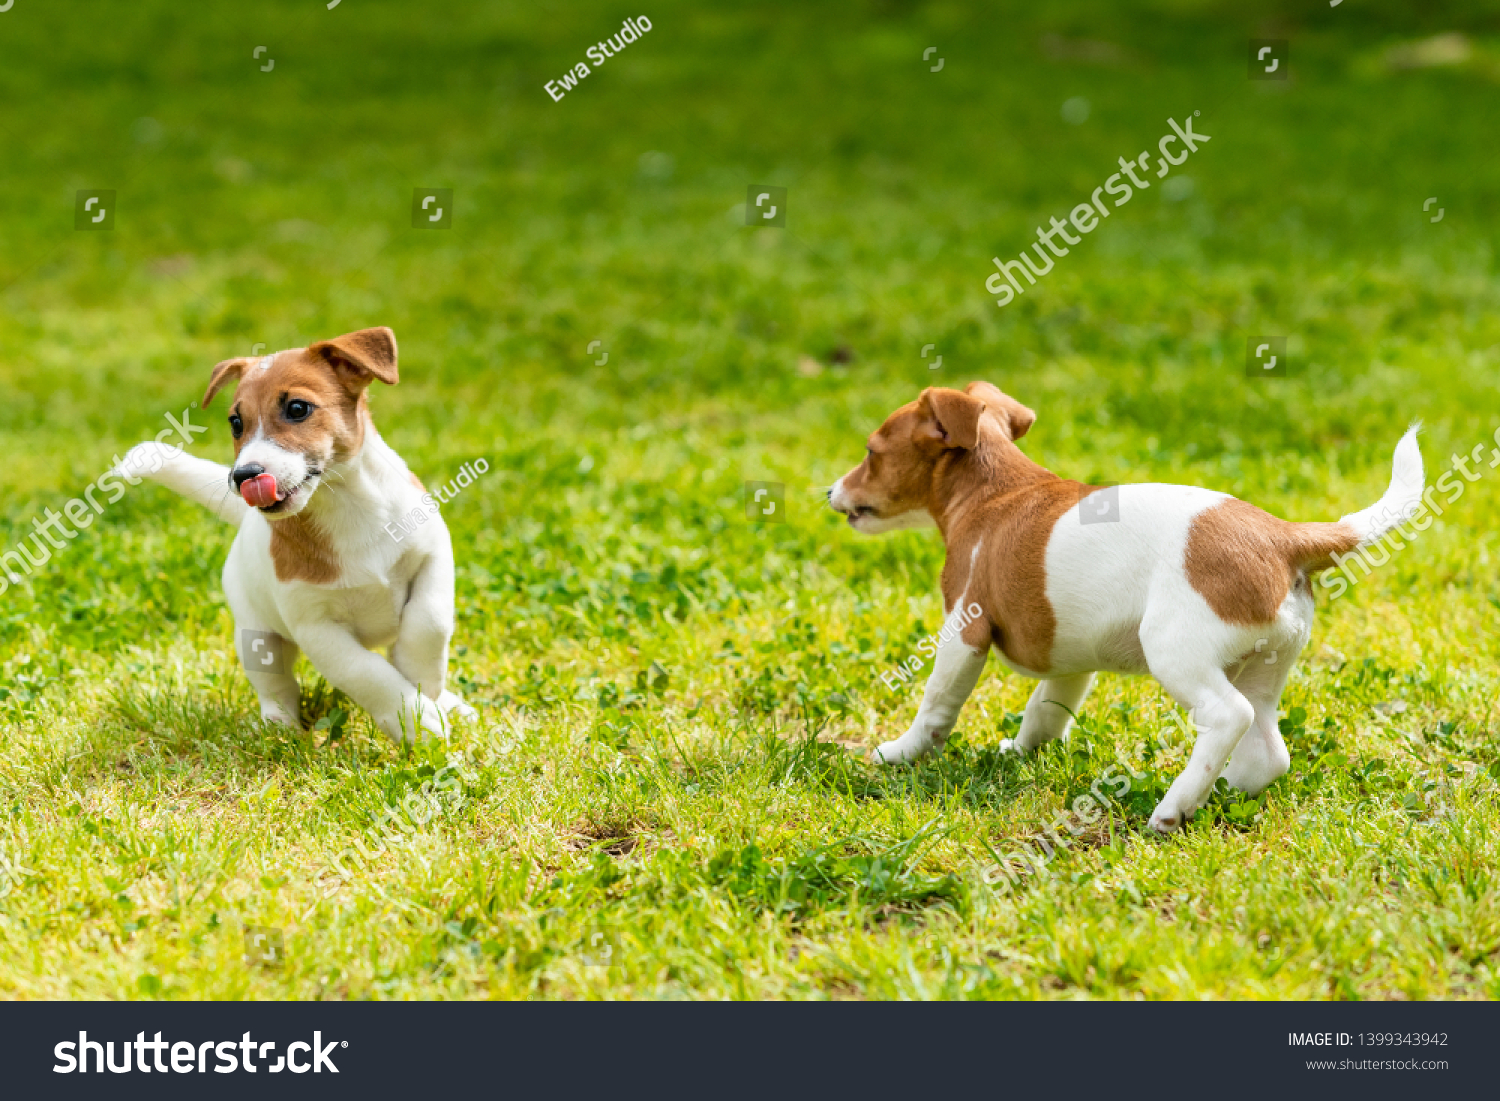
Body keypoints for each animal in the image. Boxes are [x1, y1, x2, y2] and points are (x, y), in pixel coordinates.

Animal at [119, 325, 477, 741]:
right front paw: (414, 719)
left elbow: (429, 623)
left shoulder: (433, 555)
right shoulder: (316, 627)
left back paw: (452, 703)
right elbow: (365, 673)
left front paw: (422, 681)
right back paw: (280, 727)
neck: (346, 506)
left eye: (297, 409)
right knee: (277, 686)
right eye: (236, 423)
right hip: (257, 637)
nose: (243, 476)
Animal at [828, 384, 1422, 834]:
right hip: (1266, 664)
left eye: (871, 452)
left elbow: (936, 705)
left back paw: (1173, 808)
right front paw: (1017, 751)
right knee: (1267, 749)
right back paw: (1217, 792)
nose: (831, 491)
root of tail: (1281, 537)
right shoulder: (1070, 661)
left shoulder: (964, 631)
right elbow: (1045, 713)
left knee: (1228, 715)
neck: (993, 490)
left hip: (1177, 653)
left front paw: (900, 753)